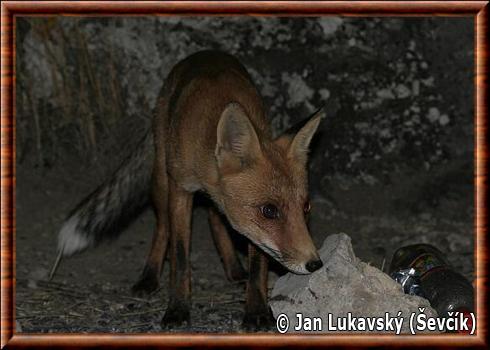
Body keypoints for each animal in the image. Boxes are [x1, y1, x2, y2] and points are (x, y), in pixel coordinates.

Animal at [55, 50, 324, 330]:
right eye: (269, 211)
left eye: (306, 207)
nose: (315, 263)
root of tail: (203, 53)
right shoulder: (181, 189)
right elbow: (180, 257)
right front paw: (177, 308)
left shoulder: (248, 225)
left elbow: (258, 263)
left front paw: (257, 310)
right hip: (161, 181)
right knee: (163, 227)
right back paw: (149, 277)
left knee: (214, 218)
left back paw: (233, 269)